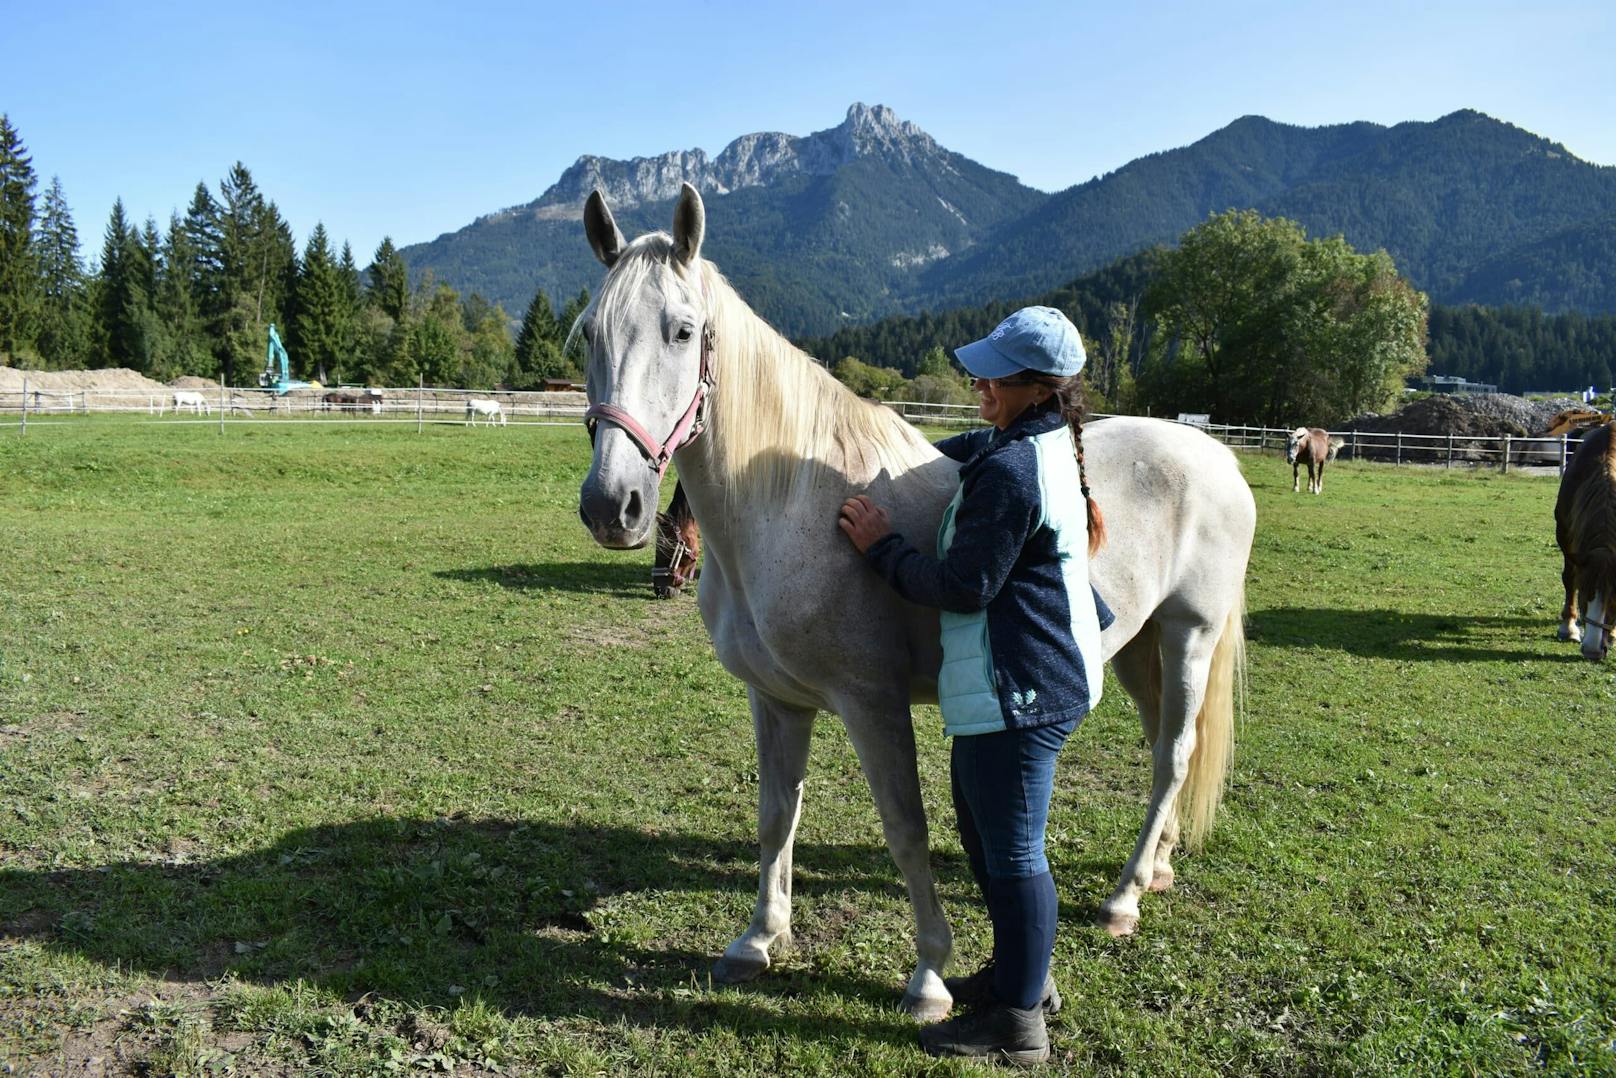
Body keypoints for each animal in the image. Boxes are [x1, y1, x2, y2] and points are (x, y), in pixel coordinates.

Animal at [575, 183, 1254, 1021]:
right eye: (588, 336)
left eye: (682, 330)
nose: (613, 506)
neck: (793, 504)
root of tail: (1217, 454)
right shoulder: (777, 700)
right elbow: (776, 815)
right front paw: (758, 940)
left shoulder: (873, 702)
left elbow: (905, 826)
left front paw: (929, 975)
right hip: (1137, 646)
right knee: (1167, 745)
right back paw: (1155, 867)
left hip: (1190, 634)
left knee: (1174, 753)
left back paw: (1124, 898)